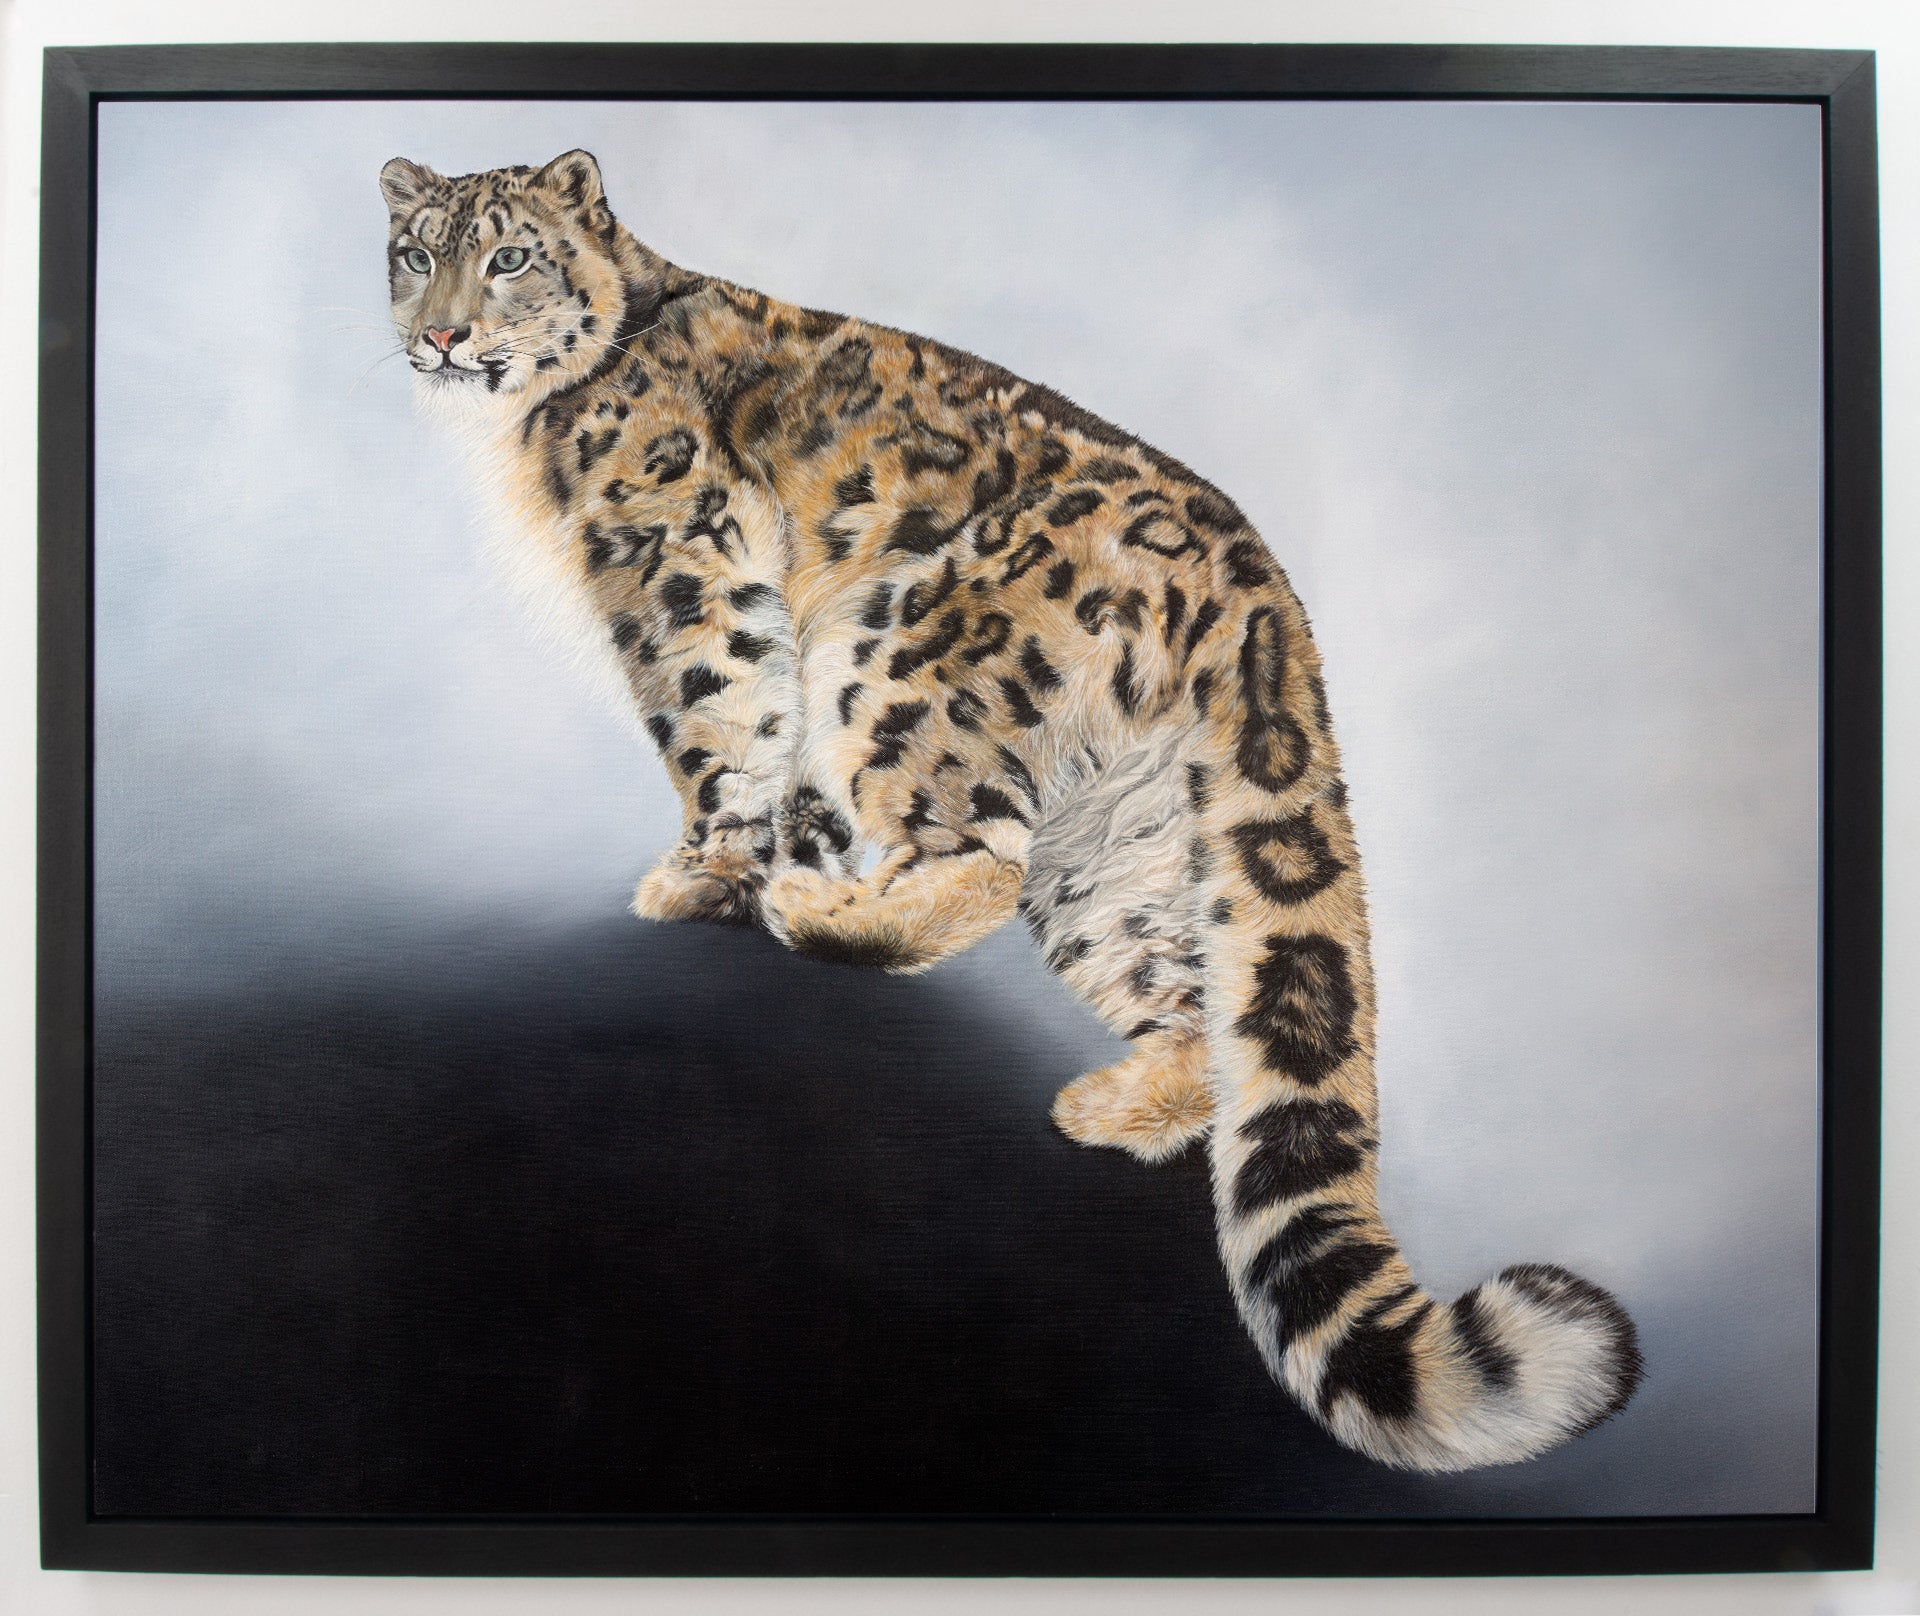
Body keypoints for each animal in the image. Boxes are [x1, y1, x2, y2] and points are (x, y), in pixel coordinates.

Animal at [379, 147, 1642, 1471]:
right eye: (415, 253)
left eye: (510, 255)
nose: (443, 332)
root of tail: (1262, 590)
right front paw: (763, 860)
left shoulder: (677, 565)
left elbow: (721, 719)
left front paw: (706, 874)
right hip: (1124, 849)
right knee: (1189, 1002)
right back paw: (1100, 1097)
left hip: (898, 657)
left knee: (980, 853)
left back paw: (821, 909)